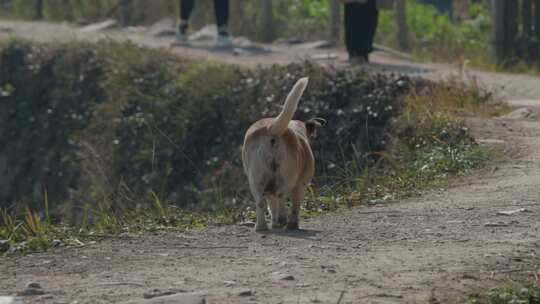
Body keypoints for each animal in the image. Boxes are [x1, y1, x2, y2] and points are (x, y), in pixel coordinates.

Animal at [242, 78, 320, 230]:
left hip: (255, 180)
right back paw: (283, 219)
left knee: (261, 202)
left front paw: (274, 223)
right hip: (288, 176)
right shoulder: (301, 184)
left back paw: (261, 226)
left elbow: (272, 206)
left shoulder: (268, 190)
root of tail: (271, 128)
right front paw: (292, 224)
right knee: (281, 195)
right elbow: (295, 205)